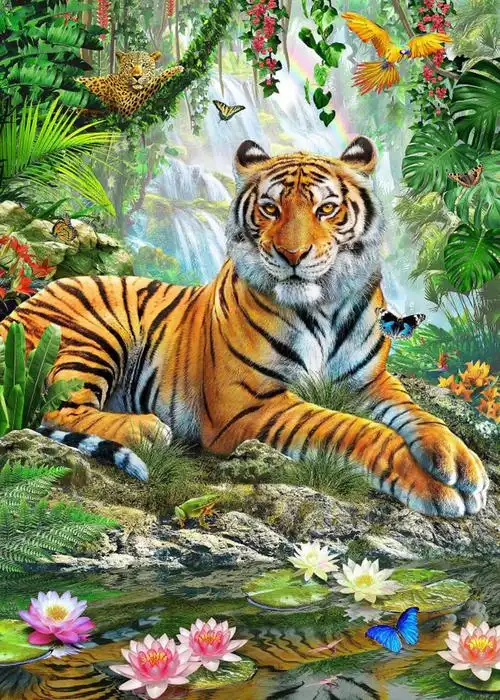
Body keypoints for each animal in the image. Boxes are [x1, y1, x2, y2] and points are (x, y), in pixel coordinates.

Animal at [0, 137, 488, 518]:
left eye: (327, 209)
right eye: (270, 209)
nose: (293, 255)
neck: (325, 306)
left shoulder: (370, 383)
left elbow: (418, 415)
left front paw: (459, 460)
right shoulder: (249, 404)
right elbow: (353, 429)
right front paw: (432, 486)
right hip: (91, 336)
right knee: (57, 410)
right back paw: (147, 430)